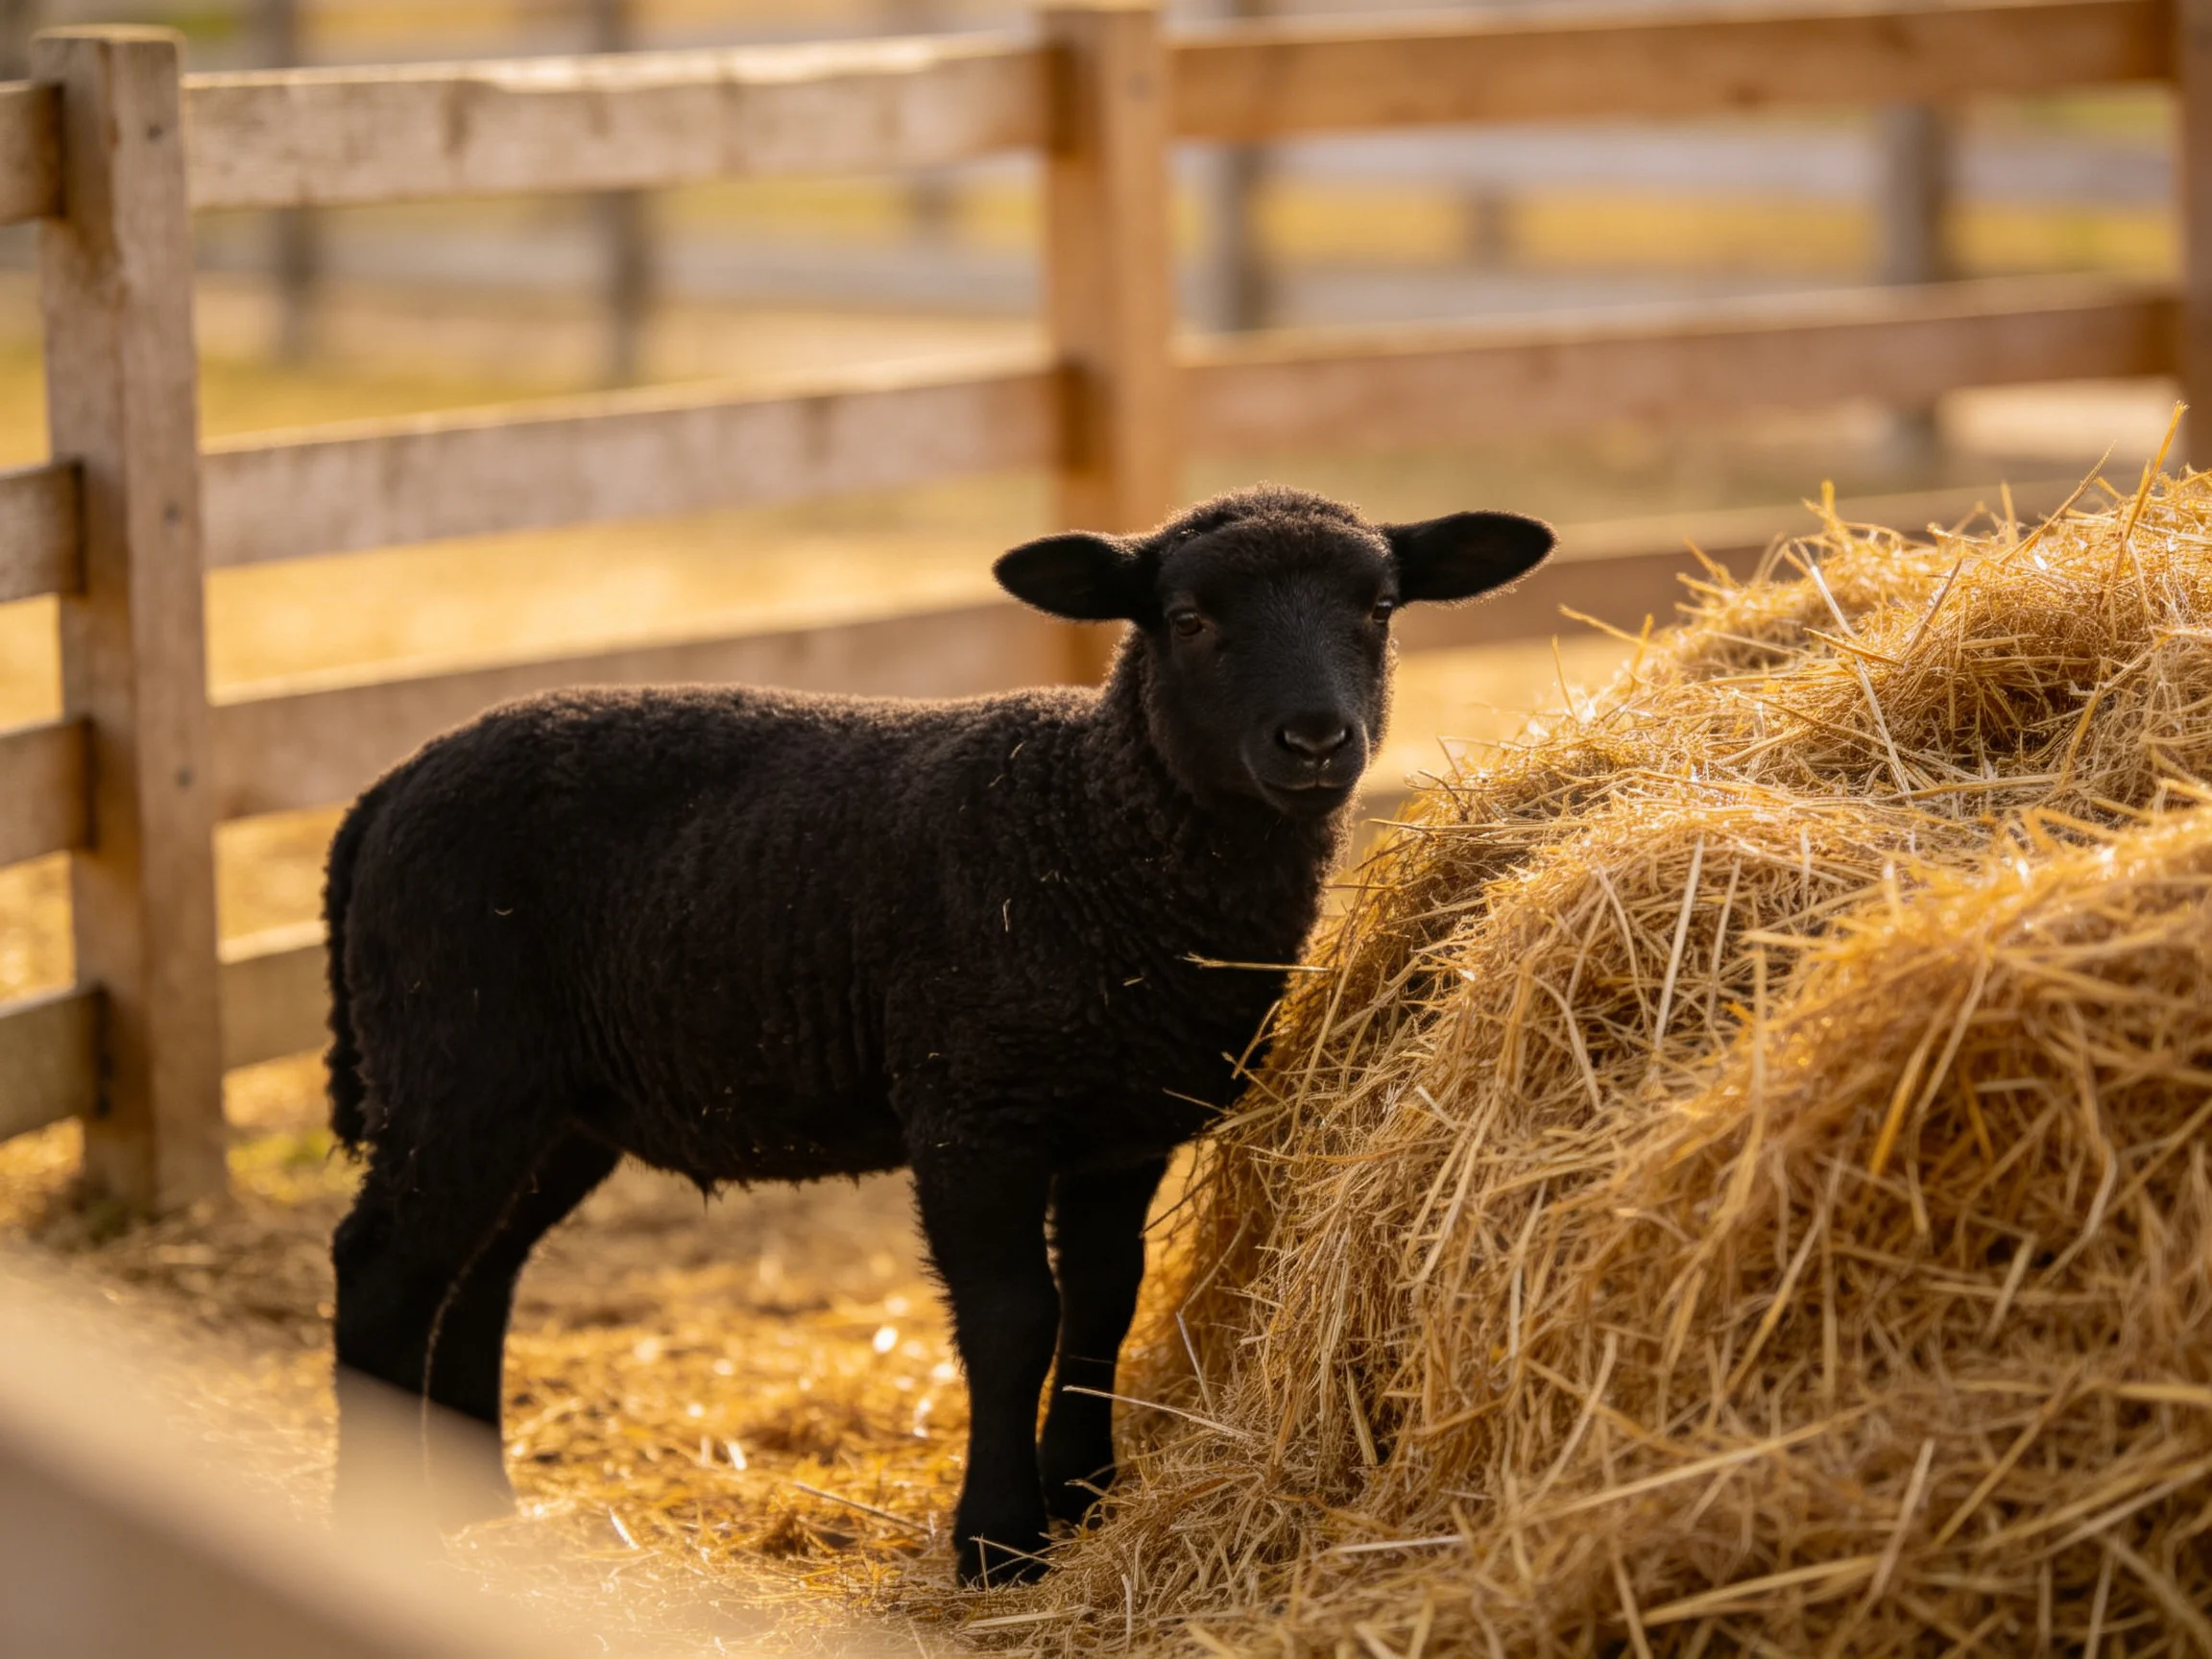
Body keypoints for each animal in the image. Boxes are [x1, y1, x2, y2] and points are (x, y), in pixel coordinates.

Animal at [324, 483, 1553, 1583]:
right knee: (385, 1269)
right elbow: (1014, 1320)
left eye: (1379, 608)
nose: (1314, 739)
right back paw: (383, 1519)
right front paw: (999, 1542)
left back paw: (476, 1506)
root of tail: (385, 790)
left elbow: (1103, 1301)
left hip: (560, 1103)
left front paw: (1085, 1494)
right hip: (456, 1057)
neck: (1092, 828)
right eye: (1188, 618)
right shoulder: (972, 1109)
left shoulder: (1123, 1126)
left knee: (480, 1269)